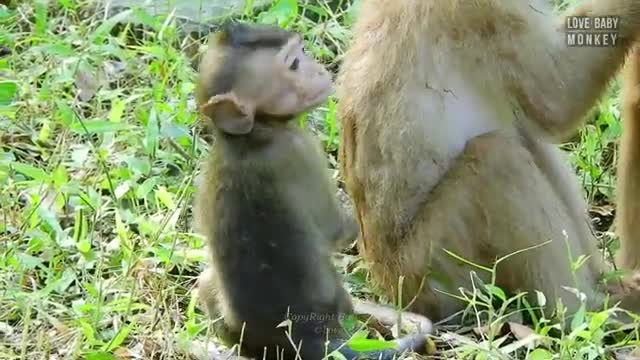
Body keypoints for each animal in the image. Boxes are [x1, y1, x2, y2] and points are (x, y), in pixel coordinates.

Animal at [195, 23, 432, 360]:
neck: (251, 137)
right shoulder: (301, 149)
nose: (320, 69)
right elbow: (337, 231)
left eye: (302, 54)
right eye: (294, 64)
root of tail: (310, 340)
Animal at [336, 0, 640, 320]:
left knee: (523, 136)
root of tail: (391, 287)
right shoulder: (482, 12)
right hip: (437, 266)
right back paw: (582, 310)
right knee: (497, 159)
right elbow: (555, 96)